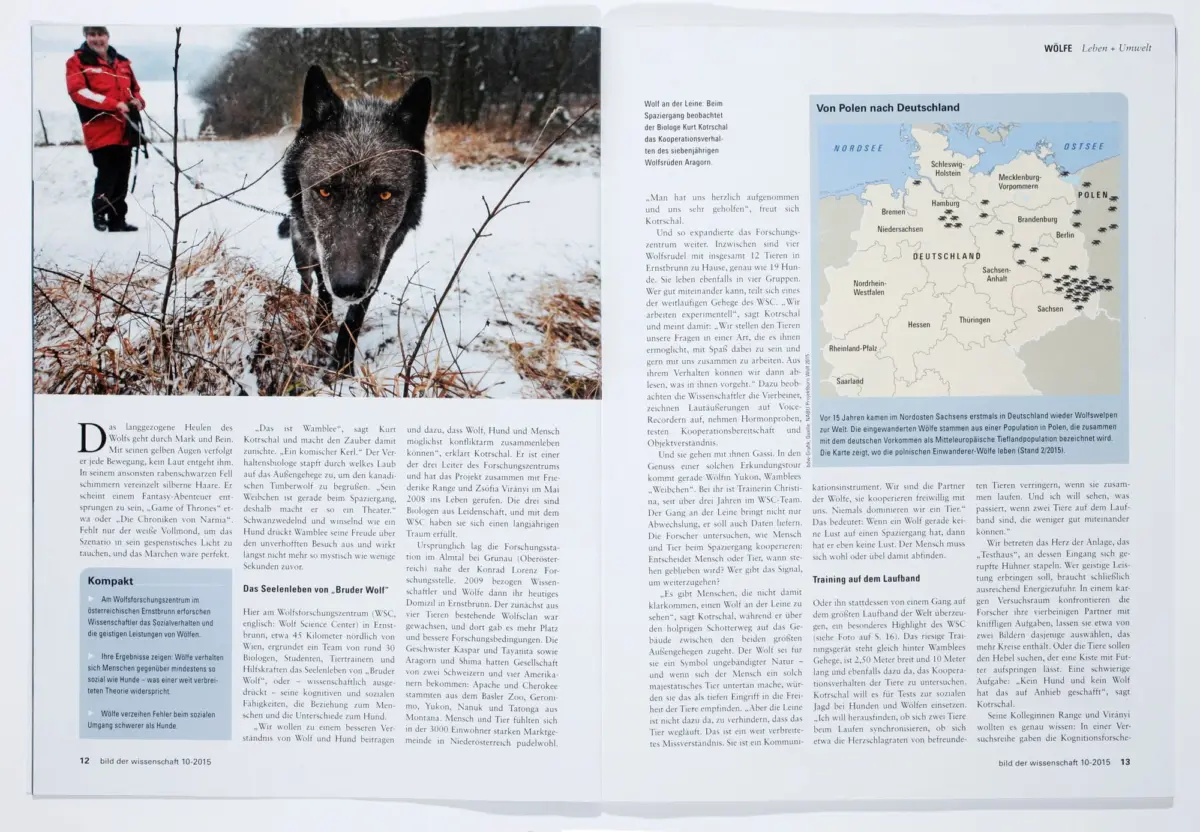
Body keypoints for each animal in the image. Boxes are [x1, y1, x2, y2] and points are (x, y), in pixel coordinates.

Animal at [277, 65, 432, 375]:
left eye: (385, 194)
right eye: (325, 191)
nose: (349, 288)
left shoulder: (383, 257)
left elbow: (355, 315)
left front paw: (342, 366)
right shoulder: (318, 250)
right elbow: (323, 287)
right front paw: (321, 323)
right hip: (301, 250)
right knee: (307, 281)